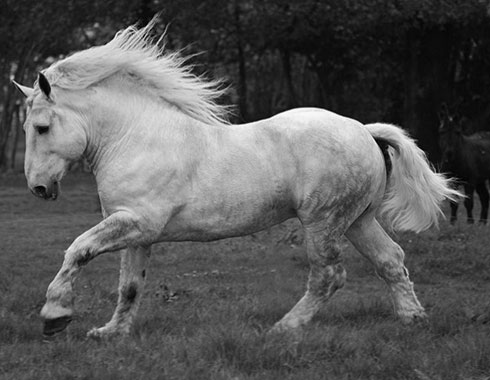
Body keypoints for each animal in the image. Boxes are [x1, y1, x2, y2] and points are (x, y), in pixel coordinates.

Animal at [14, 20, 460, 336]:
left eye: (40, 127)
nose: (39, 188)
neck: (136, 138)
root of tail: (365, 131)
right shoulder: (136, 231)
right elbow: (130, 286)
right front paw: (110, 333)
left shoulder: (137, 222)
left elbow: (78, 250)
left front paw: (55, 315)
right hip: (357, 221)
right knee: (391, 261)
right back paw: (413, 319)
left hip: (323, 222)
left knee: (329, 276)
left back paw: (284, 328)